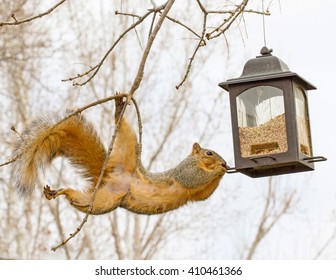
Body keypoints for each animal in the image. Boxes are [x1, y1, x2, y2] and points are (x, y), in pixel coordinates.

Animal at [13, 97, 228, 215]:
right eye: (208, 153)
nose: (224, 162)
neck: (199, 162)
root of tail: (109, 173)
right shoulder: (185, 170)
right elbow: (193, 178)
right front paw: (219, 169)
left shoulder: (196, 195)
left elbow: (204, 194)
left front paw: (223, 170)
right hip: (129, 147)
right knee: (124, 129)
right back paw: (118, 110)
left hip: (102, 201)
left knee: (79, 200)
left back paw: (60, 192)